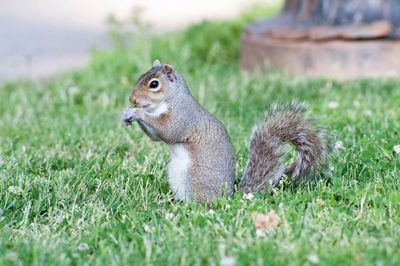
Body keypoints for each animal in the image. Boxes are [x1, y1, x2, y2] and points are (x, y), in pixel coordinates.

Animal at [122, 59, 332, 202]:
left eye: (154, 84)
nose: (132, 99)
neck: (170, 99)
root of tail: (228, 197)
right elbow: (156, 137)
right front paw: (128, 113)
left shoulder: (183, 116)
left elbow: (168, 131)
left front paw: (137, 112)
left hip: (193, 179)